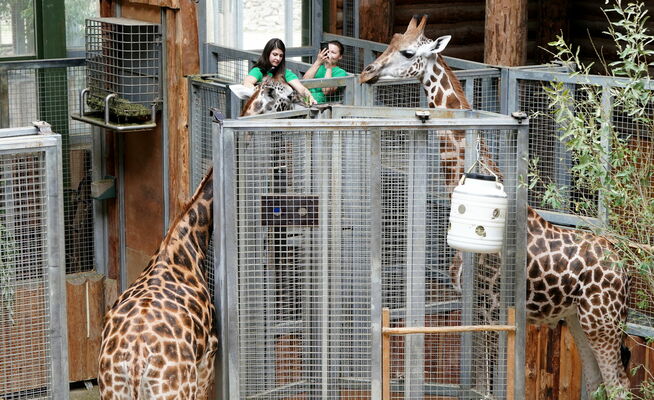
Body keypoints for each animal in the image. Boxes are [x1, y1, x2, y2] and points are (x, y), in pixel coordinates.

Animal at [362, 14, 632, 396]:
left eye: (408, 52)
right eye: (390, 43)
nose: (366, 72)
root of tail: (624, 272)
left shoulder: (490, 306)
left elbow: (488, 385)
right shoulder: (472, 303)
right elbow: (478, 380)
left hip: (602, 321)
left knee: (619, 385)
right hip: (577, 318)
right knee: (596, 382)